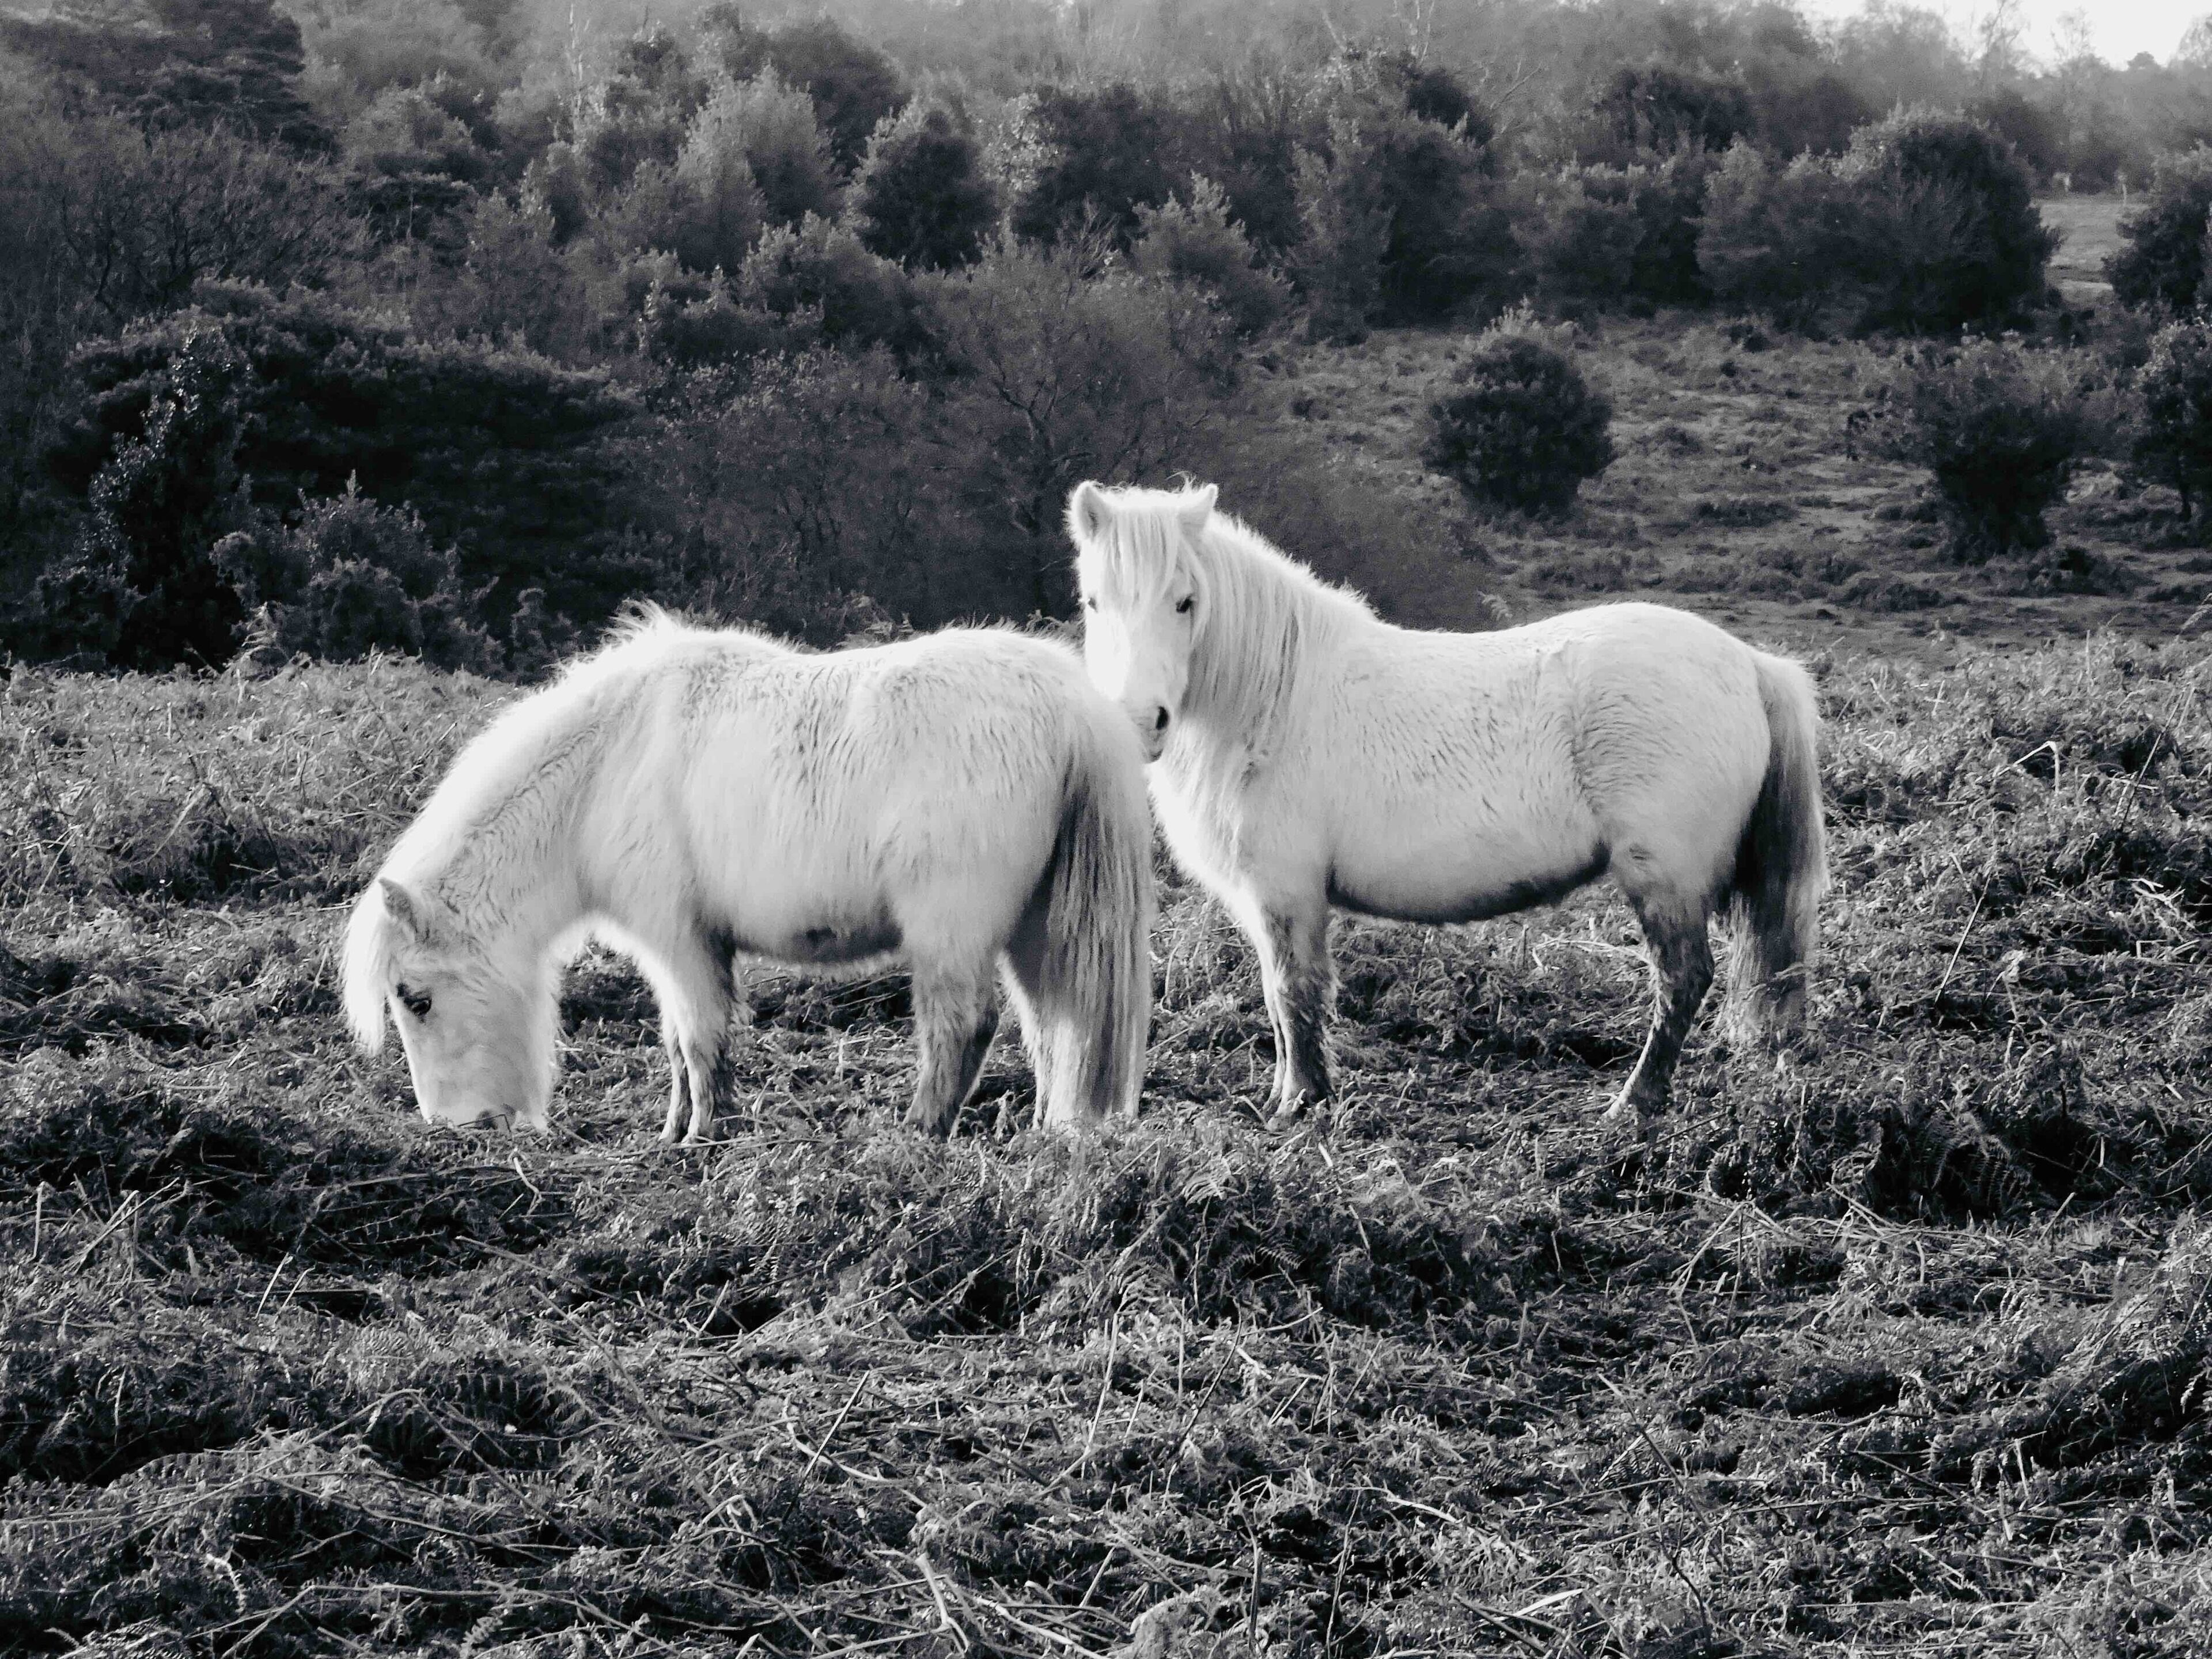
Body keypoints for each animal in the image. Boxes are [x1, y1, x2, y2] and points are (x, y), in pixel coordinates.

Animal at [343, 610, 1155, 1141]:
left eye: (415, 999)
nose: (455, 1126)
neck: (609, 762)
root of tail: (1070, 706)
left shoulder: (680, 940)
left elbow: (701, 1040)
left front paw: (704, 1136)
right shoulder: (680, 949)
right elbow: (680, 1044)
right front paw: (677, 1132)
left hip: (951, 934)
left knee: (964, 1028)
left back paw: (919, 1133)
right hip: (1033, 931)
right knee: (1053, 1026)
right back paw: (1048, 1132)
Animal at [1068, 480, 1827, 1127]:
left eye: (1184, 601)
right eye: (1094, 601)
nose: (1140, 721)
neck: (1270, 700)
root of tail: (1747, 663)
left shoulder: (1286, 893)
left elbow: (1294, 994)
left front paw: (1301, 1104)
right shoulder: (1268, 902)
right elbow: (1283, 1003)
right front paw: (1292, 1094)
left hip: (1664, 876)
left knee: (1681, 980)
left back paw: (1634, 1103)